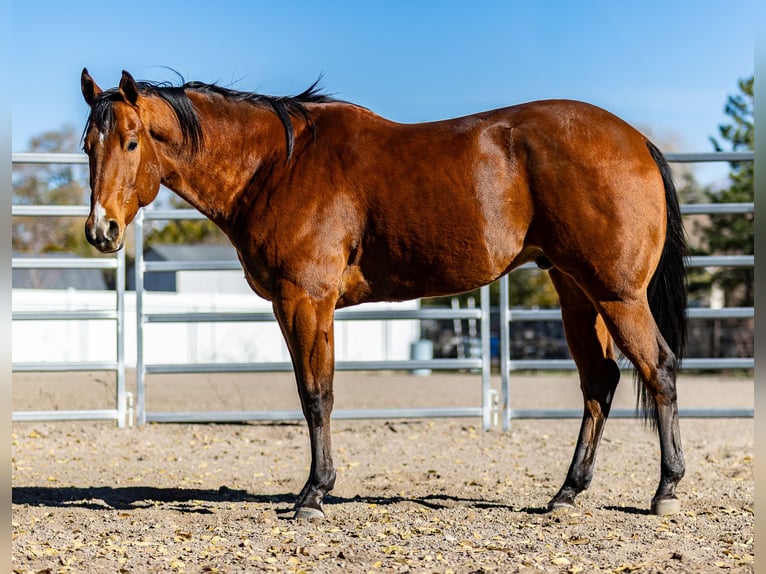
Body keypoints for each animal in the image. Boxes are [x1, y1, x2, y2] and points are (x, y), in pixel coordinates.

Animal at [80, 68, 687, 520]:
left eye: (131, 141)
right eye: (88, 146)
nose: (100, 230)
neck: (277, 164)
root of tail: (636, 140)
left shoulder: (306, 301)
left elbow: (316, 396)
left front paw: (313, 495)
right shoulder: (296, 306)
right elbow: (313, 394)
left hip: (618, 295)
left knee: (658, 369)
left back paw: (665, 489)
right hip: (578, 294)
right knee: (599, 383)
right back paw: (567, 491)